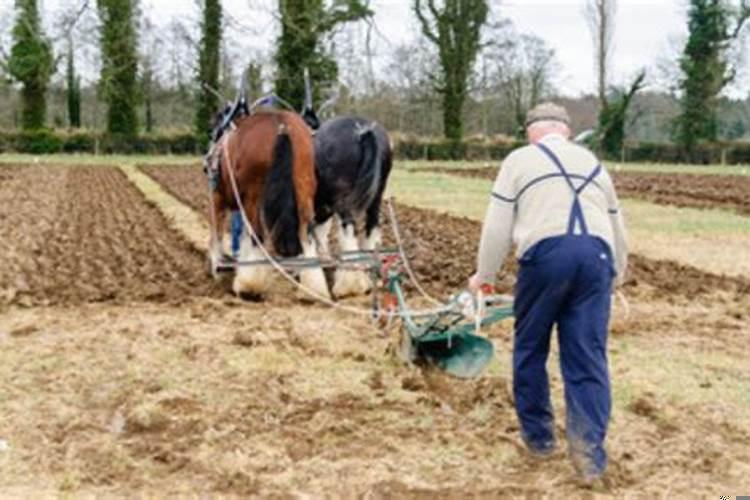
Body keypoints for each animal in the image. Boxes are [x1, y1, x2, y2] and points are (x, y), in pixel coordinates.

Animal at [209, 109, 332, 298]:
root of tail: (282, 125)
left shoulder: (218, 198)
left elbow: (218, 232)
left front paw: (218, 268)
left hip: (253, 197)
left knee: (257, 236)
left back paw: (249, 286)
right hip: (303, 191)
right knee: (307, 236)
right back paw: (312, 288)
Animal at [312, 115, 394, 298]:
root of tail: (364, 131)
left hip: (344, 202)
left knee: (348, 230)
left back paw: (349, 285)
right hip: (376, 197)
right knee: (371, 227)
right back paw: (371, 275)